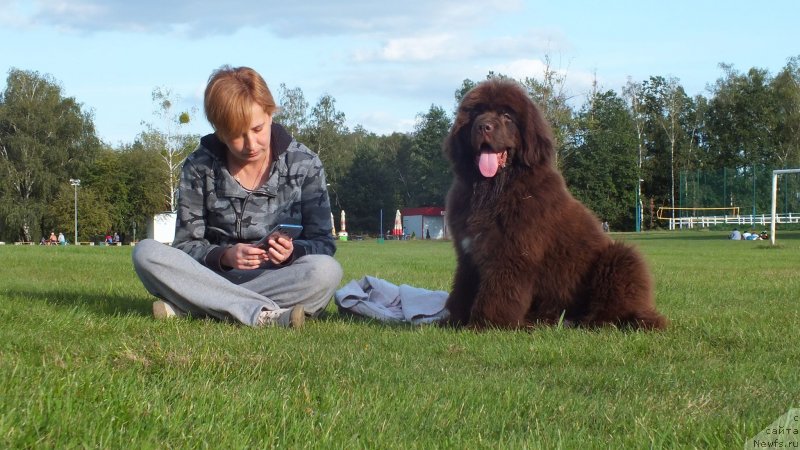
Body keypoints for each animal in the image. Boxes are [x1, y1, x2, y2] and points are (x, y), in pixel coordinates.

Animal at [446, 78, 664, 330]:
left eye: (507, 116)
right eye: (476, 113)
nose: (483, 126)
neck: (493, 191)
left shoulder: (510, 254)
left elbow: (496, 292)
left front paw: (485, 324)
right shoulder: (468, 255)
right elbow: (464, 288)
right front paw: (452, 320)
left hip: (620, 259)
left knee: (613, 309)